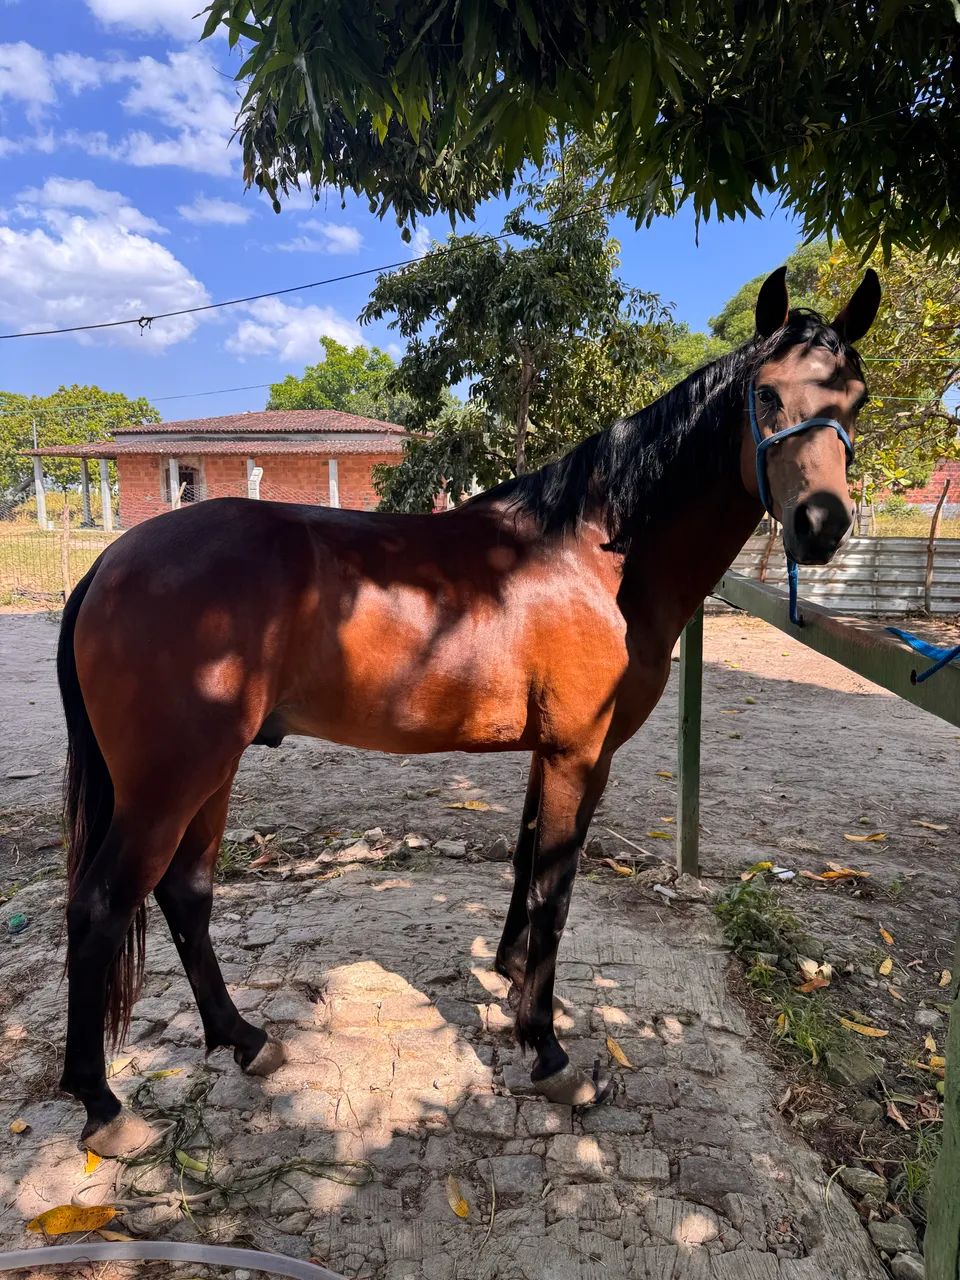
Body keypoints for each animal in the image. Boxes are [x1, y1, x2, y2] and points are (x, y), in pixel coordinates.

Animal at [56, 266, 880, 1155]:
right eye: (766, 394)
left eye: (856, 398)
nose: (821, 525)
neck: (596, 557)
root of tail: (110, 563)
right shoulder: (580, 755)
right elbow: (555, 891)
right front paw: (548, 1051)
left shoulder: (551, 753)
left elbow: (525, 864)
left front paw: (511, 982)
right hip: (170, 782)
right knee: (100, 908)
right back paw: (104, 1106)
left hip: (210, 774)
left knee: (187, 892)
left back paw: (244, 1040)